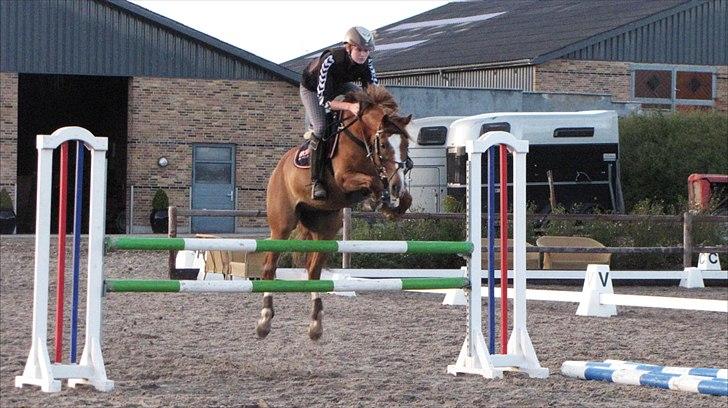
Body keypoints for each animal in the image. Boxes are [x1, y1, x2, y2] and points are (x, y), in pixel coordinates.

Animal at [258, 85, 413, 340]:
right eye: (383, 144)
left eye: (406, 144)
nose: (396, 187)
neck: (361, 138)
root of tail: (279, 166)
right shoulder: (345, 179)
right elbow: (373, 183)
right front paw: (376, 202)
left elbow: (403, 197)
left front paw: (390, 209)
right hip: (281, 226)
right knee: (270, 267)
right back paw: (264, 321)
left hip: (326, 229)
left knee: (313, 272)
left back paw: (315, 324)